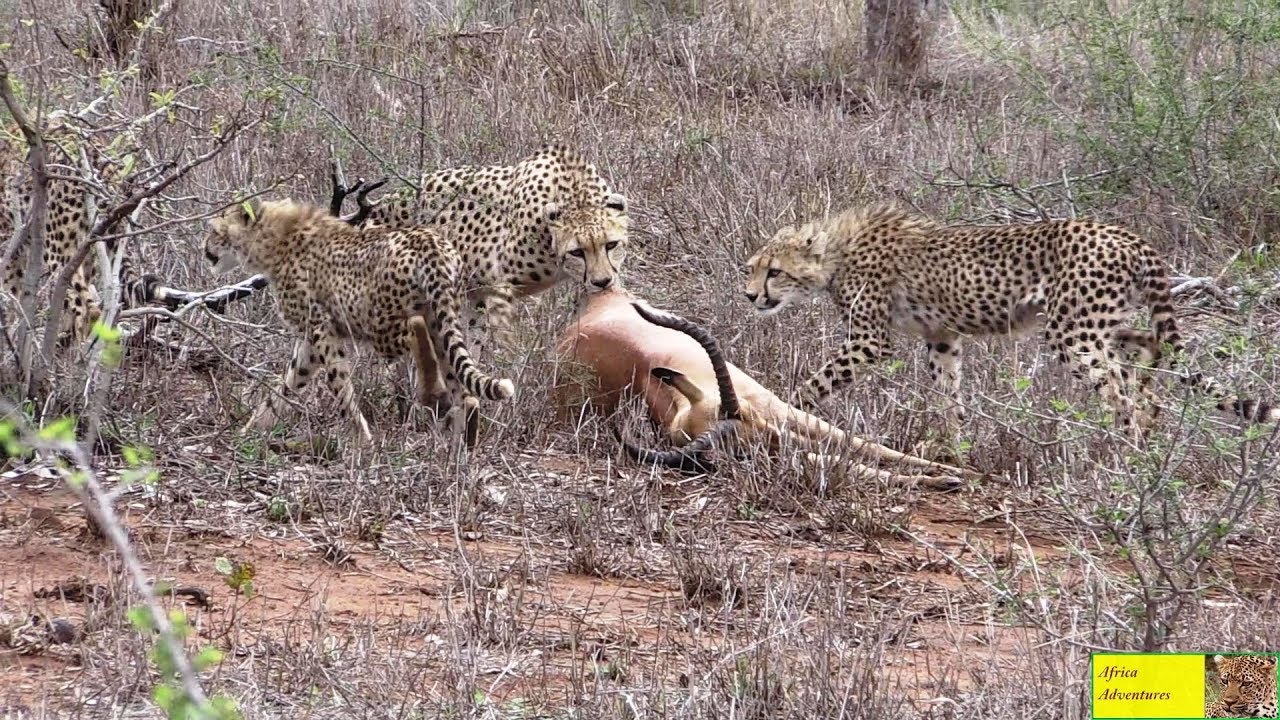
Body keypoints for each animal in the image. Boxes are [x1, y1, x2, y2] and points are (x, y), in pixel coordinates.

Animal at [203, 197, 515, 447]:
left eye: (215, 230)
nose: (205, 249)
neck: (275, 237)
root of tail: (430, 241)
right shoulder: (309, 343)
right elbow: (286, 385)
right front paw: (250, 430)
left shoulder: (322, 330)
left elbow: (340, 386)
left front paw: (361, 440)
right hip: (442, 315)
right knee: (456, 375)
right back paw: (464, 435)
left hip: (381, 325)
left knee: (416, 332)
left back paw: (435, 397)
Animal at [742, 203, 1280, 445]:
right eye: (752, 268)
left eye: (774, 272)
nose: (749, 296)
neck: (835, 252)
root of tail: (1127, 234)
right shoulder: (942, 337)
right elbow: (948, 393)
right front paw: (953, 445)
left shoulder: (871, 342)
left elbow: (814, 383)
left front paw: (784, 412)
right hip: (1096, 321)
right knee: (1148, 348)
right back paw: (1150, 425)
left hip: (1072, 332)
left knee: (1118, 386)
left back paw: (1126, 448)